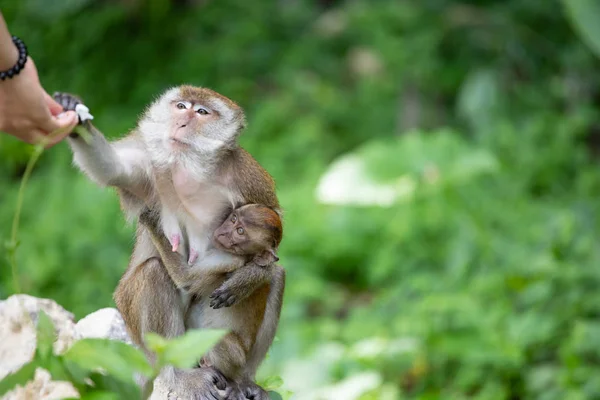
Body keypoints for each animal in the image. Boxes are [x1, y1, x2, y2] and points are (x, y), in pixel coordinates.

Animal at [53, 88, 284, 400]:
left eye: (201, 112)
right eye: (181, 106)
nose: (181, 123)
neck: (192, 171)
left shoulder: (245, 174)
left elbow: (273, 229)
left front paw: (248, 277)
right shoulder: (149, 164)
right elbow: (113, 169)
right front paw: (74, 115)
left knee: (278, 276)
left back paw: (243, 379)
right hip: (140, 325)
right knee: (154, 272)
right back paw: (177, 374)